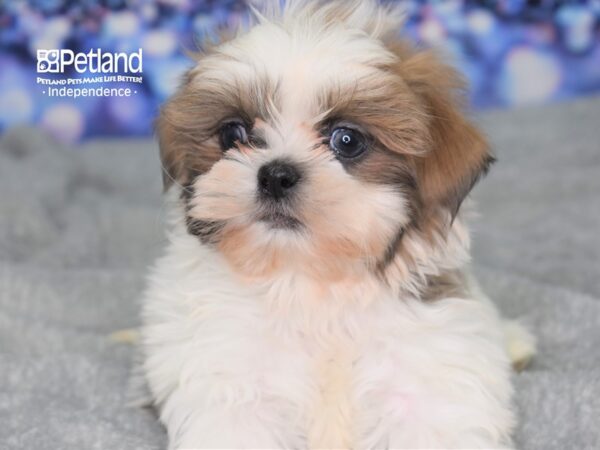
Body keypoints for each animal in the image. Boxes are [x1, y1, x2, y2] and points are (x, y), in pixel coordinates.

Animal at [141, 1, 536, 448]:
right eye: (233, 133)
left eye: (347, 141)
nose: (276, 175)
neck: (309, 281)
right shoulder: (230, 383)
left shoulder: (428, 378)